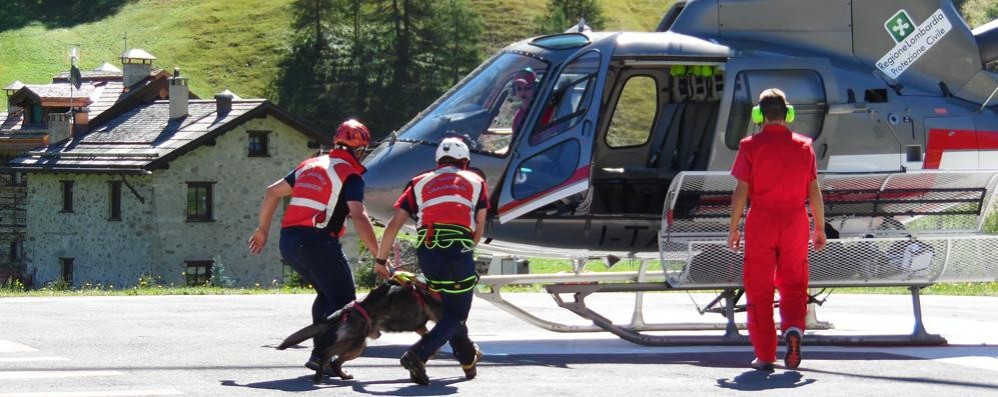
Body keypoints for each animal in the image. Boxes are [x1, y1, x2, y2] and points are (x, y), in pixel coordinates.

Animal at [278, 274, 442, 382]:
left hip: (357, 347)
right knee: (326, 353)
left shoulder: (420, 326)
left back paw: (342, 376)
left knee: (334, 362)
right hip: (354, 342)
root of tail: (346, 309)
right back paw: (319, 376)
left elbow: (428, 338)